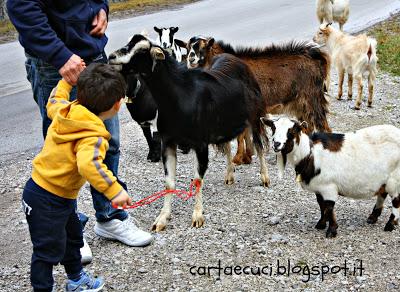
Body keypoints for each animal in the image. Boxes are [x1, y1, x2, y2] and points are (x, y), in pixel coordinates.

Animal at [108, 34, 268, 230]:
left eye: (142, 50)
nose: (112, 57)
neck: (180, 97)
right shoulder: (168, 141)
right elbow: (169, 182)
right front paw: (162, 218)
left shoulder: (200, 143)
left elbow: (197, 179)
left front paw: (197, 216)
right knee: (228, 146)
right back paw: (229, 175)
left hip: (254, 115)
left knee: (259, 144)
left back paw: (265, 177)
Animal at [177, 36, 332, 165]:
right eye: (187, 48)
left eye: (202, 47)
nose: (191, 60)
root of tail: (316, 57)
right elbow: (245, 134)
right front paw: (246, 157)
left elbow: (241, 136)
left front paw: (238, 158)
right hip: (299, 103)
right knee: (307, 126)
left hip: (312, 98)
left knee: (323, 125)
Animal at [260, 115, 400, 238]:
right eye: (273, 128)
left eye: (292, 130)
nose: (276, 144)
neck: (310, 154)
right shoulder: (319, 188)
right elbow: (321, 206)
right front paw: (321, 224)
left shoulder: (329, 187)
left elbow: (329, 208)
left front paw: (331, 230)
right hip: (384, 179)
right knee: (382, 193)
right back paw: (373, 217)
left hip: (395, 178)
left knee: (396, 200)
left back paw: (390, 224)